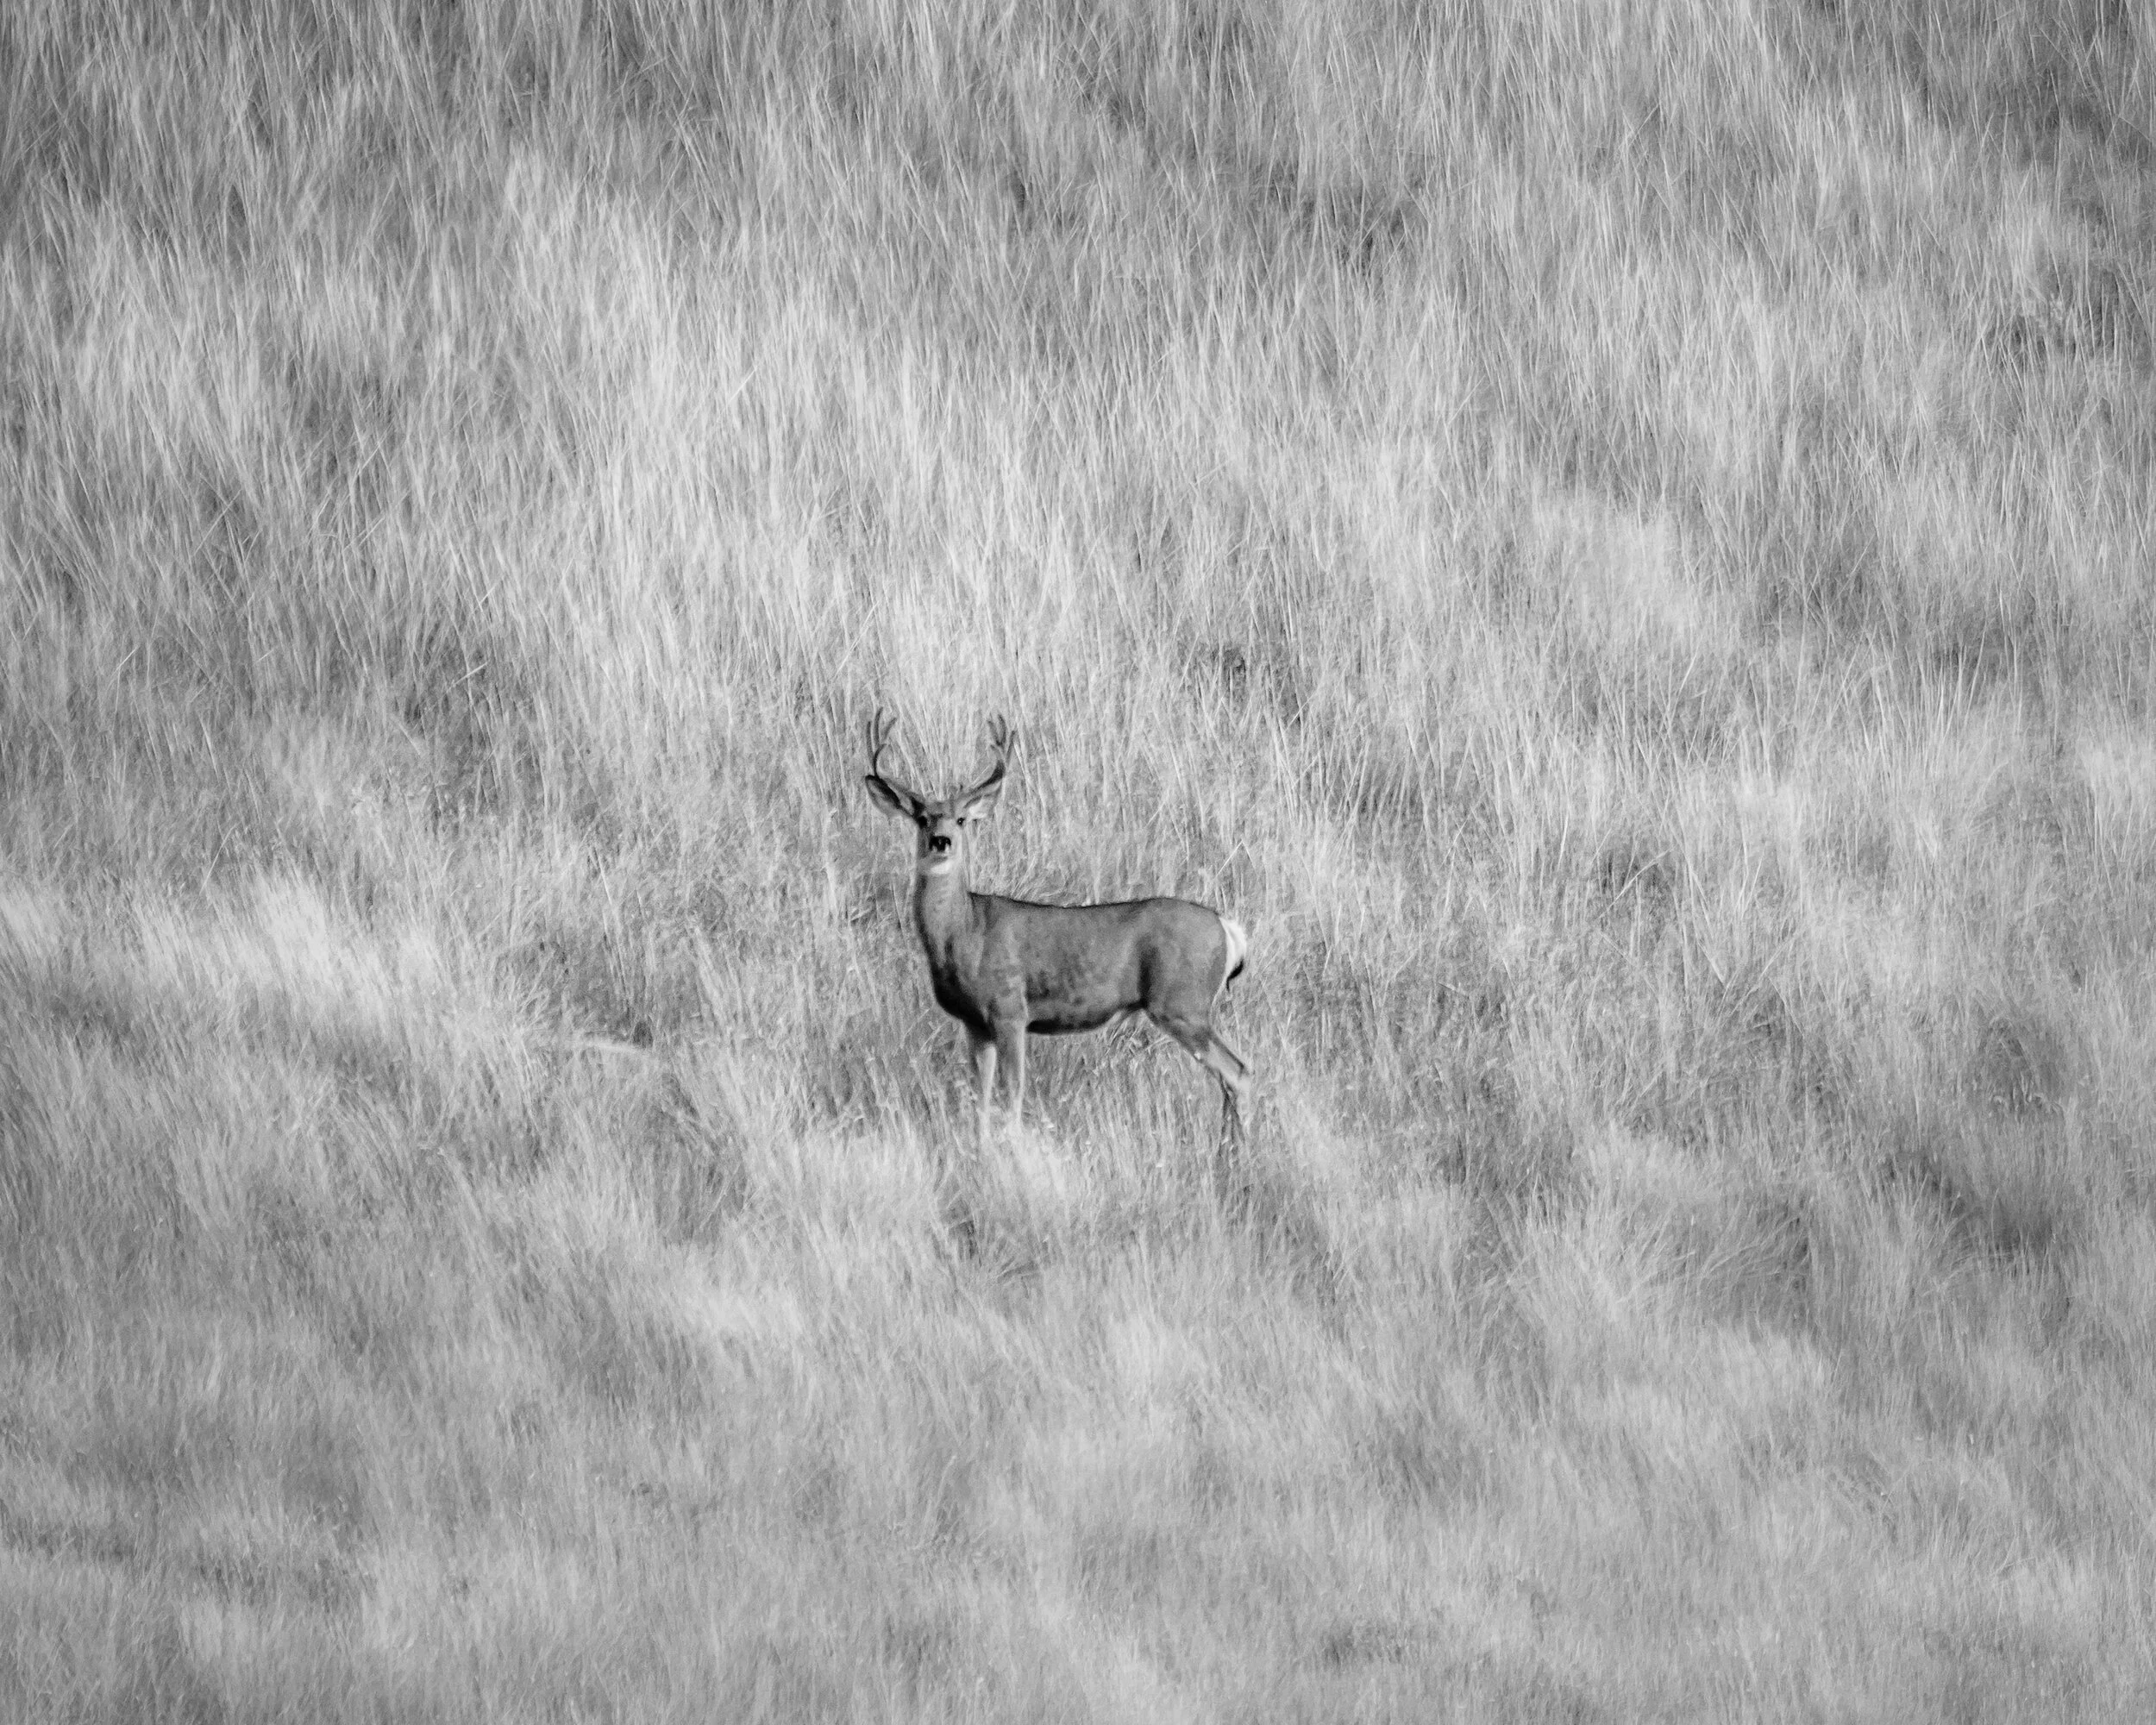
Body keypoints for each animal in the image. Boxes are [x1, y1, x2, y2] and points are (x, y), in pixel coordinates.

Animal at [862, 710, 1254, 1161]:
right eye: (922, 818)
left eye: (960, 819)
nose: (940, 841)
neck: (965, 932)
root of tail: (1227, 927)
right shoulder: (975, 1024)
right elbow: (980, 1097)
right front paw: (980, 1151)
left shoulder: (1009, 1010)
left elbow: (1013, 1095)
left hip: (1182, 1002)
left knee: (1238, 1071)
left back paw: (1237, 1154)